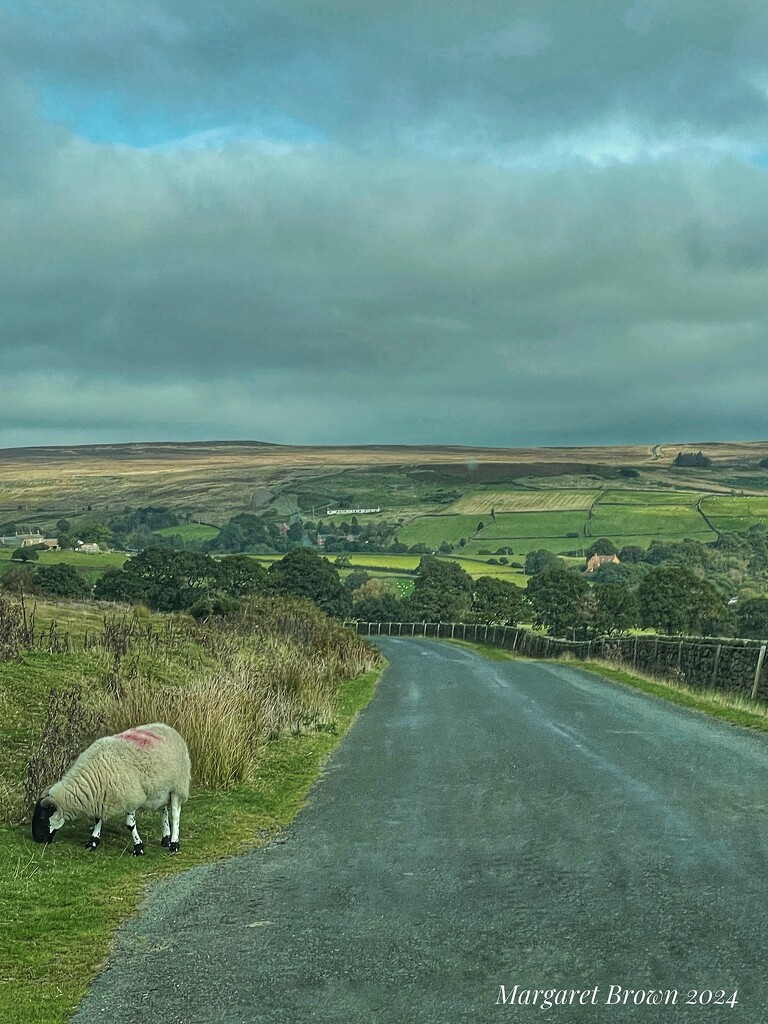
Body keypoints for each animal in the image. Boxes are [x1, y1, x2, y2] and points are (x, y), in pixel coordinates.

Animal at [31, 720, 191, 856]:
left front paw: (138, 848)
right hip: (161, 789)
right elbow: (97, 819)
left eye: (42, 816)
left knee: (175, 814)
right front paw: (93, 841)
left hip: (178, 785)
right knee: (163, 811)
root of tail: (167, 727)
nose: (36, 840)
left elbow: (130, 825)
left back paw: (174, 844)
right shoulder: (99, 795)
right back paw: (165, 839)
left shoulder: (130, 796)